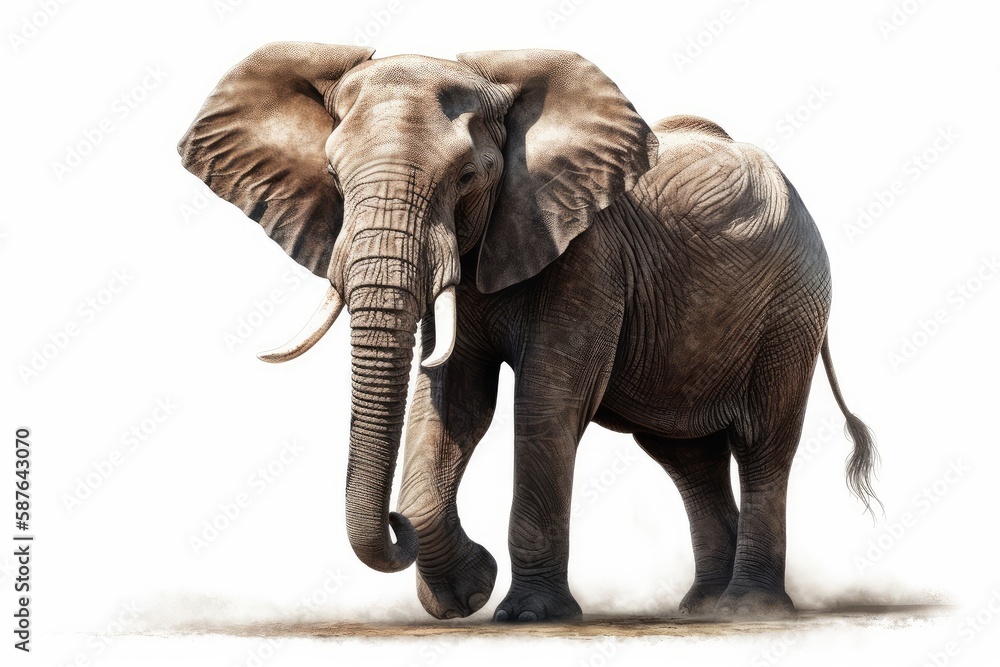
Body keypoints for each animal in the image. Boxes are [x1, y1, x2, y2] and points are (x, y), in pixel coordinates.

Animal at [178, 42, 879, 622]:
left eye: (467, 178)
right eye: (332, 176)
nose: (396, 525)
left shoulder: (588, 253)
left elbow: (544, 404)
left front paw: (525, 613)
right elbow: (452, 401)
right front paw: (464, 594)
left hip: (793, 307)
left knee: (763, 443)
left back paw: (748, 609)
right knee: (688, 458)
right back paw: (701, 609)